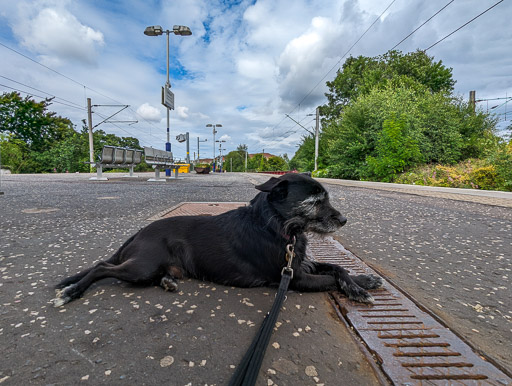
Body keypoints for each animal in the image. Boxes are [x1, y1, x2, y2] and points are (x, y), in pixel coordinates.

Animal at [53, 173, 380, 306]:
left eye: (327, 198)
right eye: (313, 202)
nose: (343, 220)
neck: (275, 226)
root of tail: (139, 232)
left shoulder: (301, 264)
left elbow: (338, 268)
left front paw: (363, 280)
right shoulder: (294, 277)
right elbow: (332, 278)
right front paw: (357, 289)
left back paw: (168, 282)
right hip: (141, 266)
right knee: (100, 267)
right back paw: (72, 291)